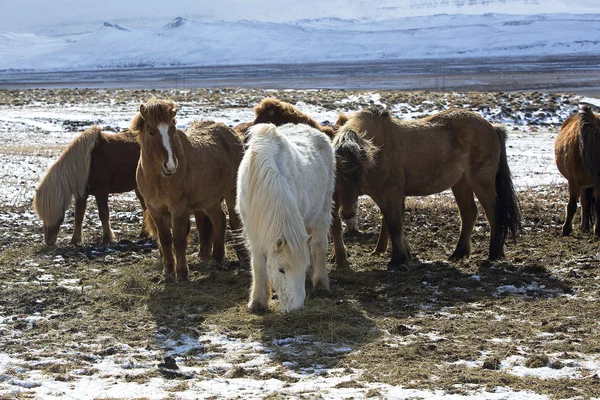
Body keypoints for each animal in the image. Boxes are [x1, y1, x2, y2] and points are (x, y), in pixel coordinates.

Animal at [134, 97, 248, 282]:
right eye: (151, 132)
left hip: (232, 193)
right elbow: (165, 240)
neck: (159, 179)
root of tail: (232, 133)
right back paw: (216, 258)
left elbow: (179, 240)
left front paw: (182, 274)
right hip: (209, 199)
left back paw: (243, 258)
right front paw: (167, 271)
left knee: (235, 221)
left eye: (172, 130)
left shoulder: (179, 208)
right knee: (219, 219)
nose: (170, 165)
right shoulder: (155, 210)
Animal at [236, 122, 338, 312]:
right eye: (281, 270)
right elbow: (259, 265)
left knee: (319, 245)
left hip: (323, 211)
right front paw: (257, 302)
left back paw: (320, 283)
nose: (297, 308)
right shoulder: (254, 233)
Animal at [330, 106, 524, 268]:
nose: (347, 213)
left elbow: (394, 223)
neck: (378, 149)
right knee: (469, 213)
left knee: (493, 212)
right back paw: (459, 253)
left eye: (360, 171)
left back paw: (494, 253)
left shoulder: (391, 193)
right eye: (337, 173)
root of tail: (492, 127)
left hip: (481, 182)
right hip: (460, 184)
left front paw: (398, 259)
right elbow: (390, 221)